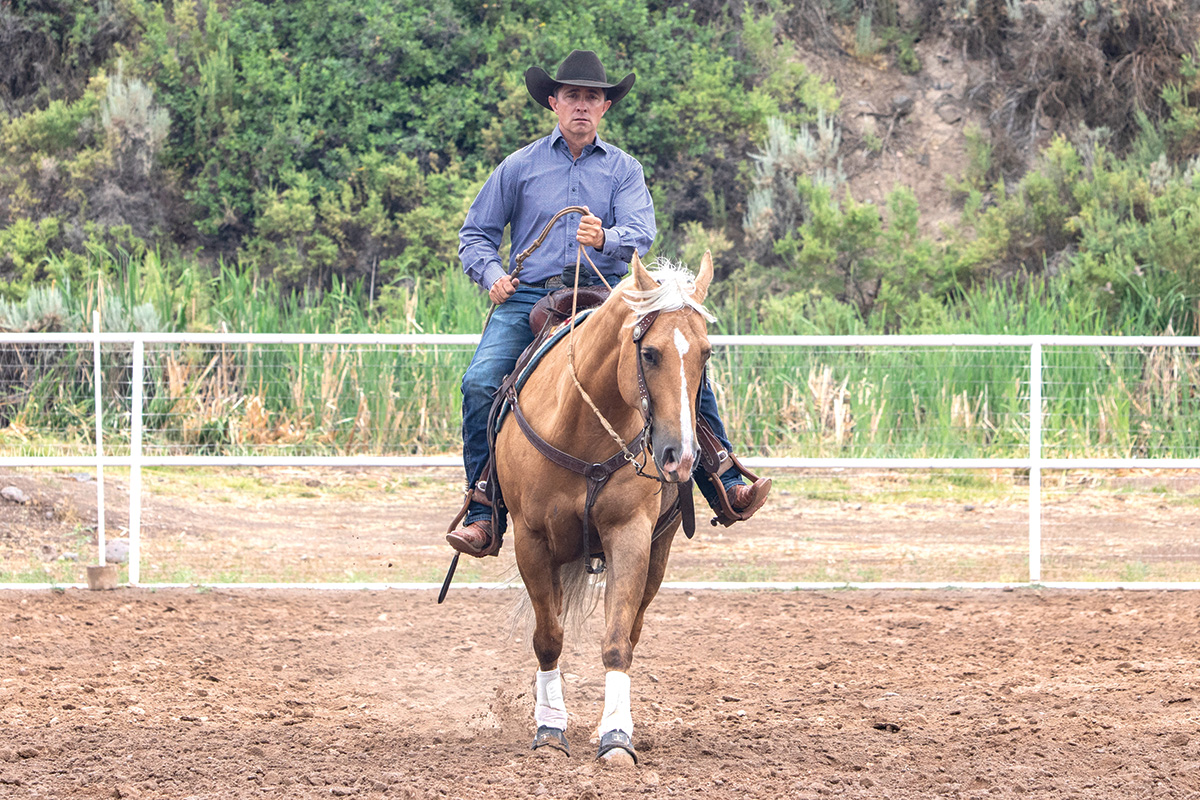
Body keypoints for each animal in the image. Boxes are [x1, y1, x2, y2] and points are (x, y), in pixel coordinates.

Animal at [494, 250, 715, 762]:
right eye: (649, 353)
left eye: (706, 353)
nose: (680, 457)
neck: (581, 425)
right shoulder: (531, 541)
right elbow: (548, 638)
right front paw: (549, 730)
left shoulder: (630, 535)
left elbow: (617, 642)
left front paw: (616, 736)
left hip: (659, 550)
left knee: (632, 628)